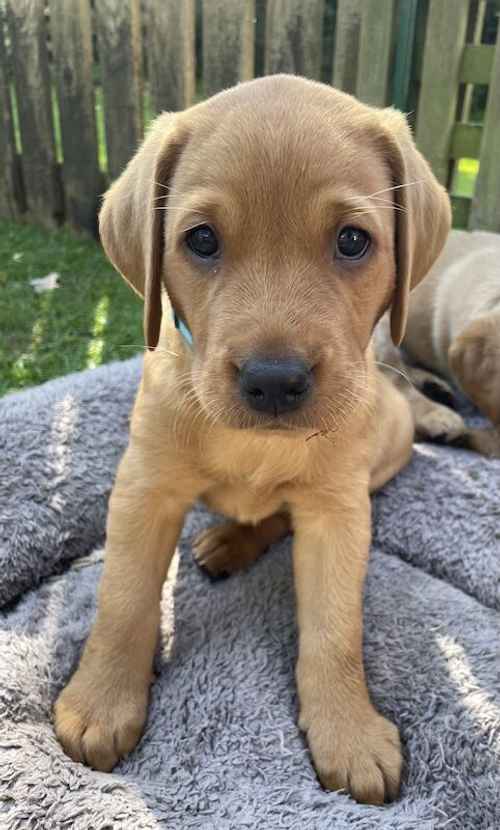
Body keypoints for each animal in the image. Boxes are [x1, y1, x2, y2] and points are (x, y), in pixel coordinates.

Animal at [53, 73, 450, 808]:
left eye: (353, 240)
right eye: (202, 240)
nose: (273, 381)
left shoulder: (339, 512)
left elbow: (334, 630)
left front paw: (348, 732)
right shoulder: (144, 489)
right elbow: (122, 599)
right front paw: (100, 701)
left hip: (380, 461)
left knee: (280, 519)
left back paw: (234, 541)